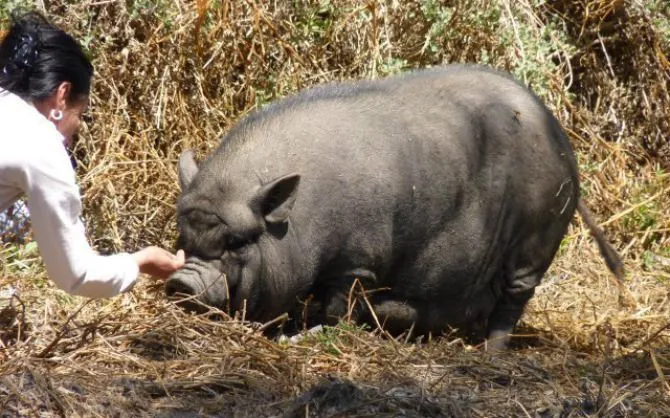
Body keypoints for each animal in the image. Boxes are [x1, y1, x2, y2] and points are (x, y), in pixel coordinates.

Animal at [167, 62, 624, 350]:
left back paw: (490, 353)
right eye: (183, 237)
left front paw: (302, 334)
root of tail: (563, 144)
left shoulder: (357, 262)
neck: (302, 221)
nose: (182, 283)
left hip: (536, 239)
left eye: (238, 242)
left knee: (514, 300)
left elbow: (336, 307)